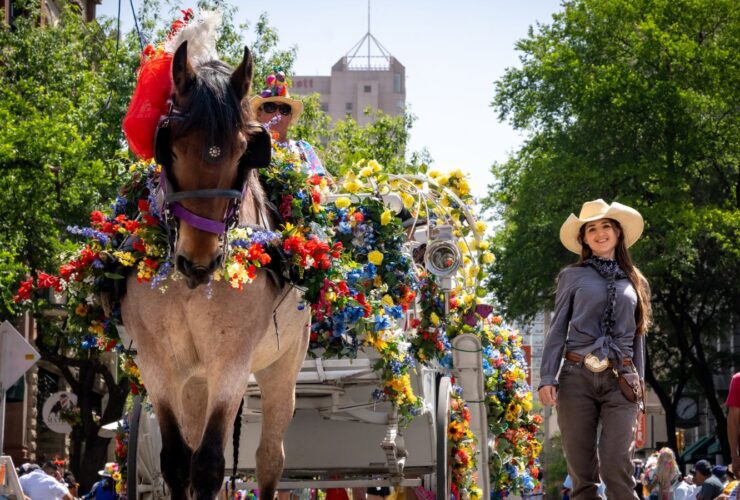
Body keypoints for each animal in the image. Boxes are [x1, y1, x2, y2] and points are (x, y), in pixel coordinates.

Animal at [123, 41, 308, 498]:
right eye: (169, 147)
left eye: (245, 152)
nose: (199, 261)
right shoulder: (158, 361)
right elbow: (177, 462)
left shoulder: (232, 361)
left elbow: (208, 465)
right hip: (195, 381)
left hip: (281, 368)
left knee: (269, 459)